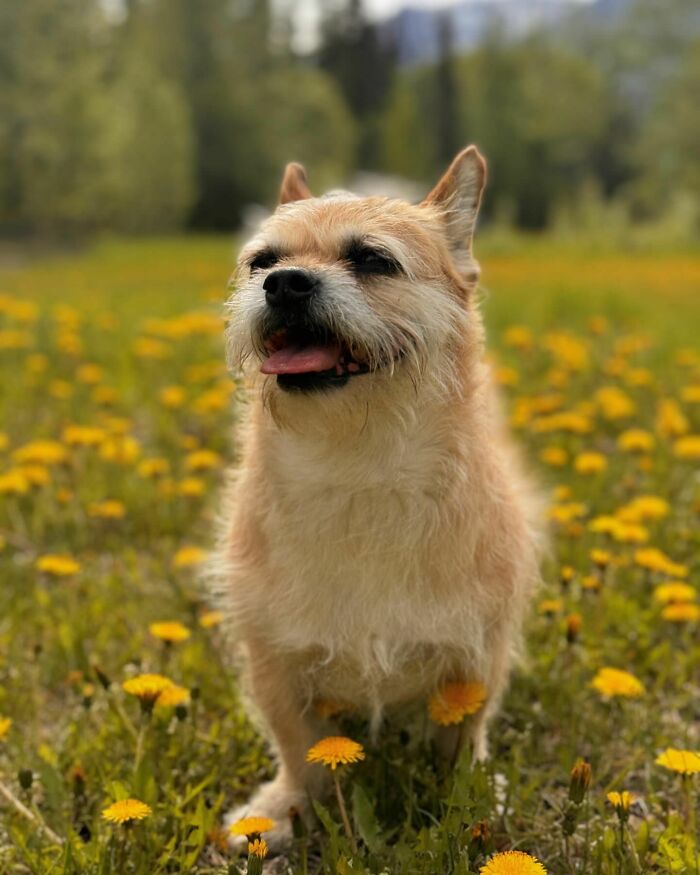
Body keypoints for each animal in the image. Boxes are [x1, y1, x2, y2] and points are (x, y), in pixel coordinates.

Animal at [213, 147, 540, 852]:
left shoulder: (476, 652)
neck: (359, 466)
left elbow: (463, 735)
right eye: (262, 262)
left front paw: (471, 798)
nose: (285, 284)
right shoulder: (273, 658)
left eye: (372, 260)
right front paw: (283, 807)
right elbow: (296, 745)